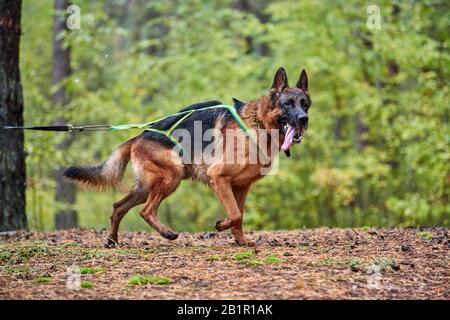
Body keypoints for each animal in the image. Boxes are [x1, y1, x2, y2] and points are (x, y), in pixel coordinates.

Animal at [64, 68, 310, 248]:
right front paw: (220, 226)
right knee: (146, 211)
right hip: (171, 177)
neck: (258, 123)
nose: (303, 119)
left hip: (146, 187)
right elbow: (235, 214)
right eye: (287, 104)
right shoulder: (218, 178)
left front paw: (240, 241)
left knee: (118, 207)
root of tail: (139, 135)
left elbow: (238, 215)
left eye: (305, 104)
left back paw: (113, 240)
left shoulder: (241, 186)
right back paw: (166, 233)